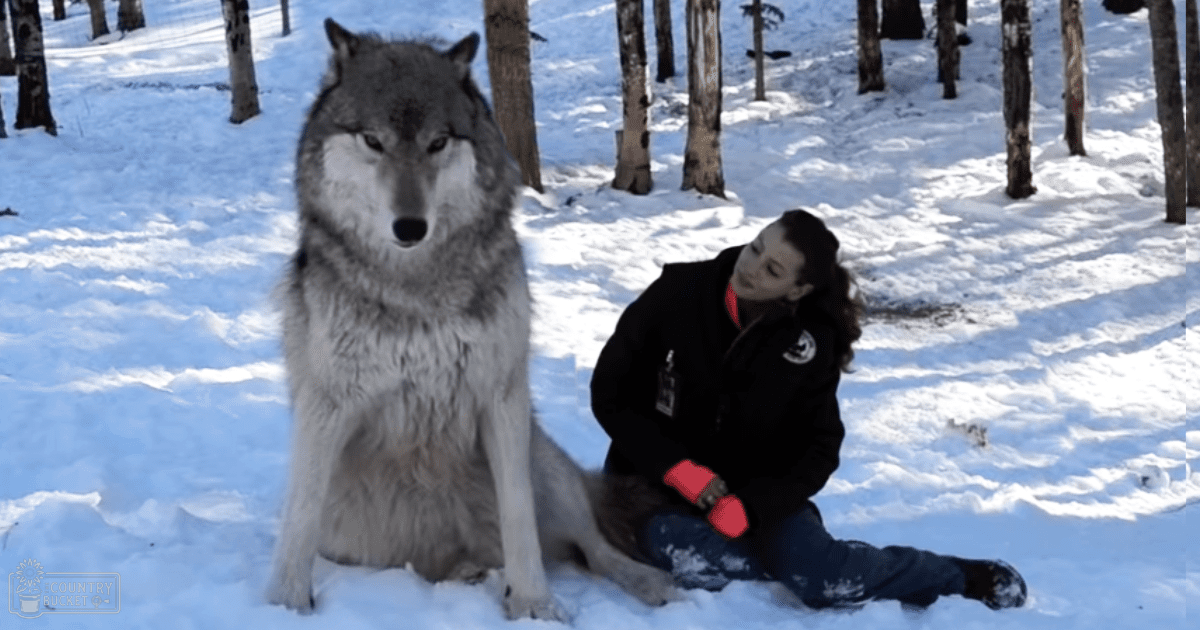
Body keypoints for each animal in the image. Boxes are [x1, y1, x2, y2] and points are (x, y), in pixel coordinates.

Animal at [264, 19, 679, 622]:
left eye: (438, 143)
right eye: (373, 141)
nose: (410, 227)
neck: (417, 288)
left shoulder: (500, 395)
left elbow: (519, 519)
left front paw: (534, 608)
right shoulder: (328, 404)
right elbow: (297, 519)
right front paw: (284, 604)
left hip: (544, 460)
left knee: (594, 549)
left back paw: (649, 583)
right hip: (351, 534)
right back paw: (468, 572)